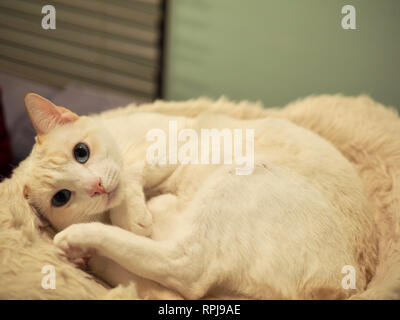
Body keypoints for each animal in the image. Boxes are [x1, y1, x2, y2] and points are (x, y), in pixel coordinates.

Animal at [20, 92, 376, 300]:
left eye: (81, 152)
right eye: (62, 197)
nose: (95, 186)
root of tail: (347, 286)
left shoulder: (176, 140)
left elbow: (132, 173)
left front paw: (133, 217)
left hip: (239, 177)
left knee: (187, 269)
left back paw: (81, 240)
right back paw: (87, 252)